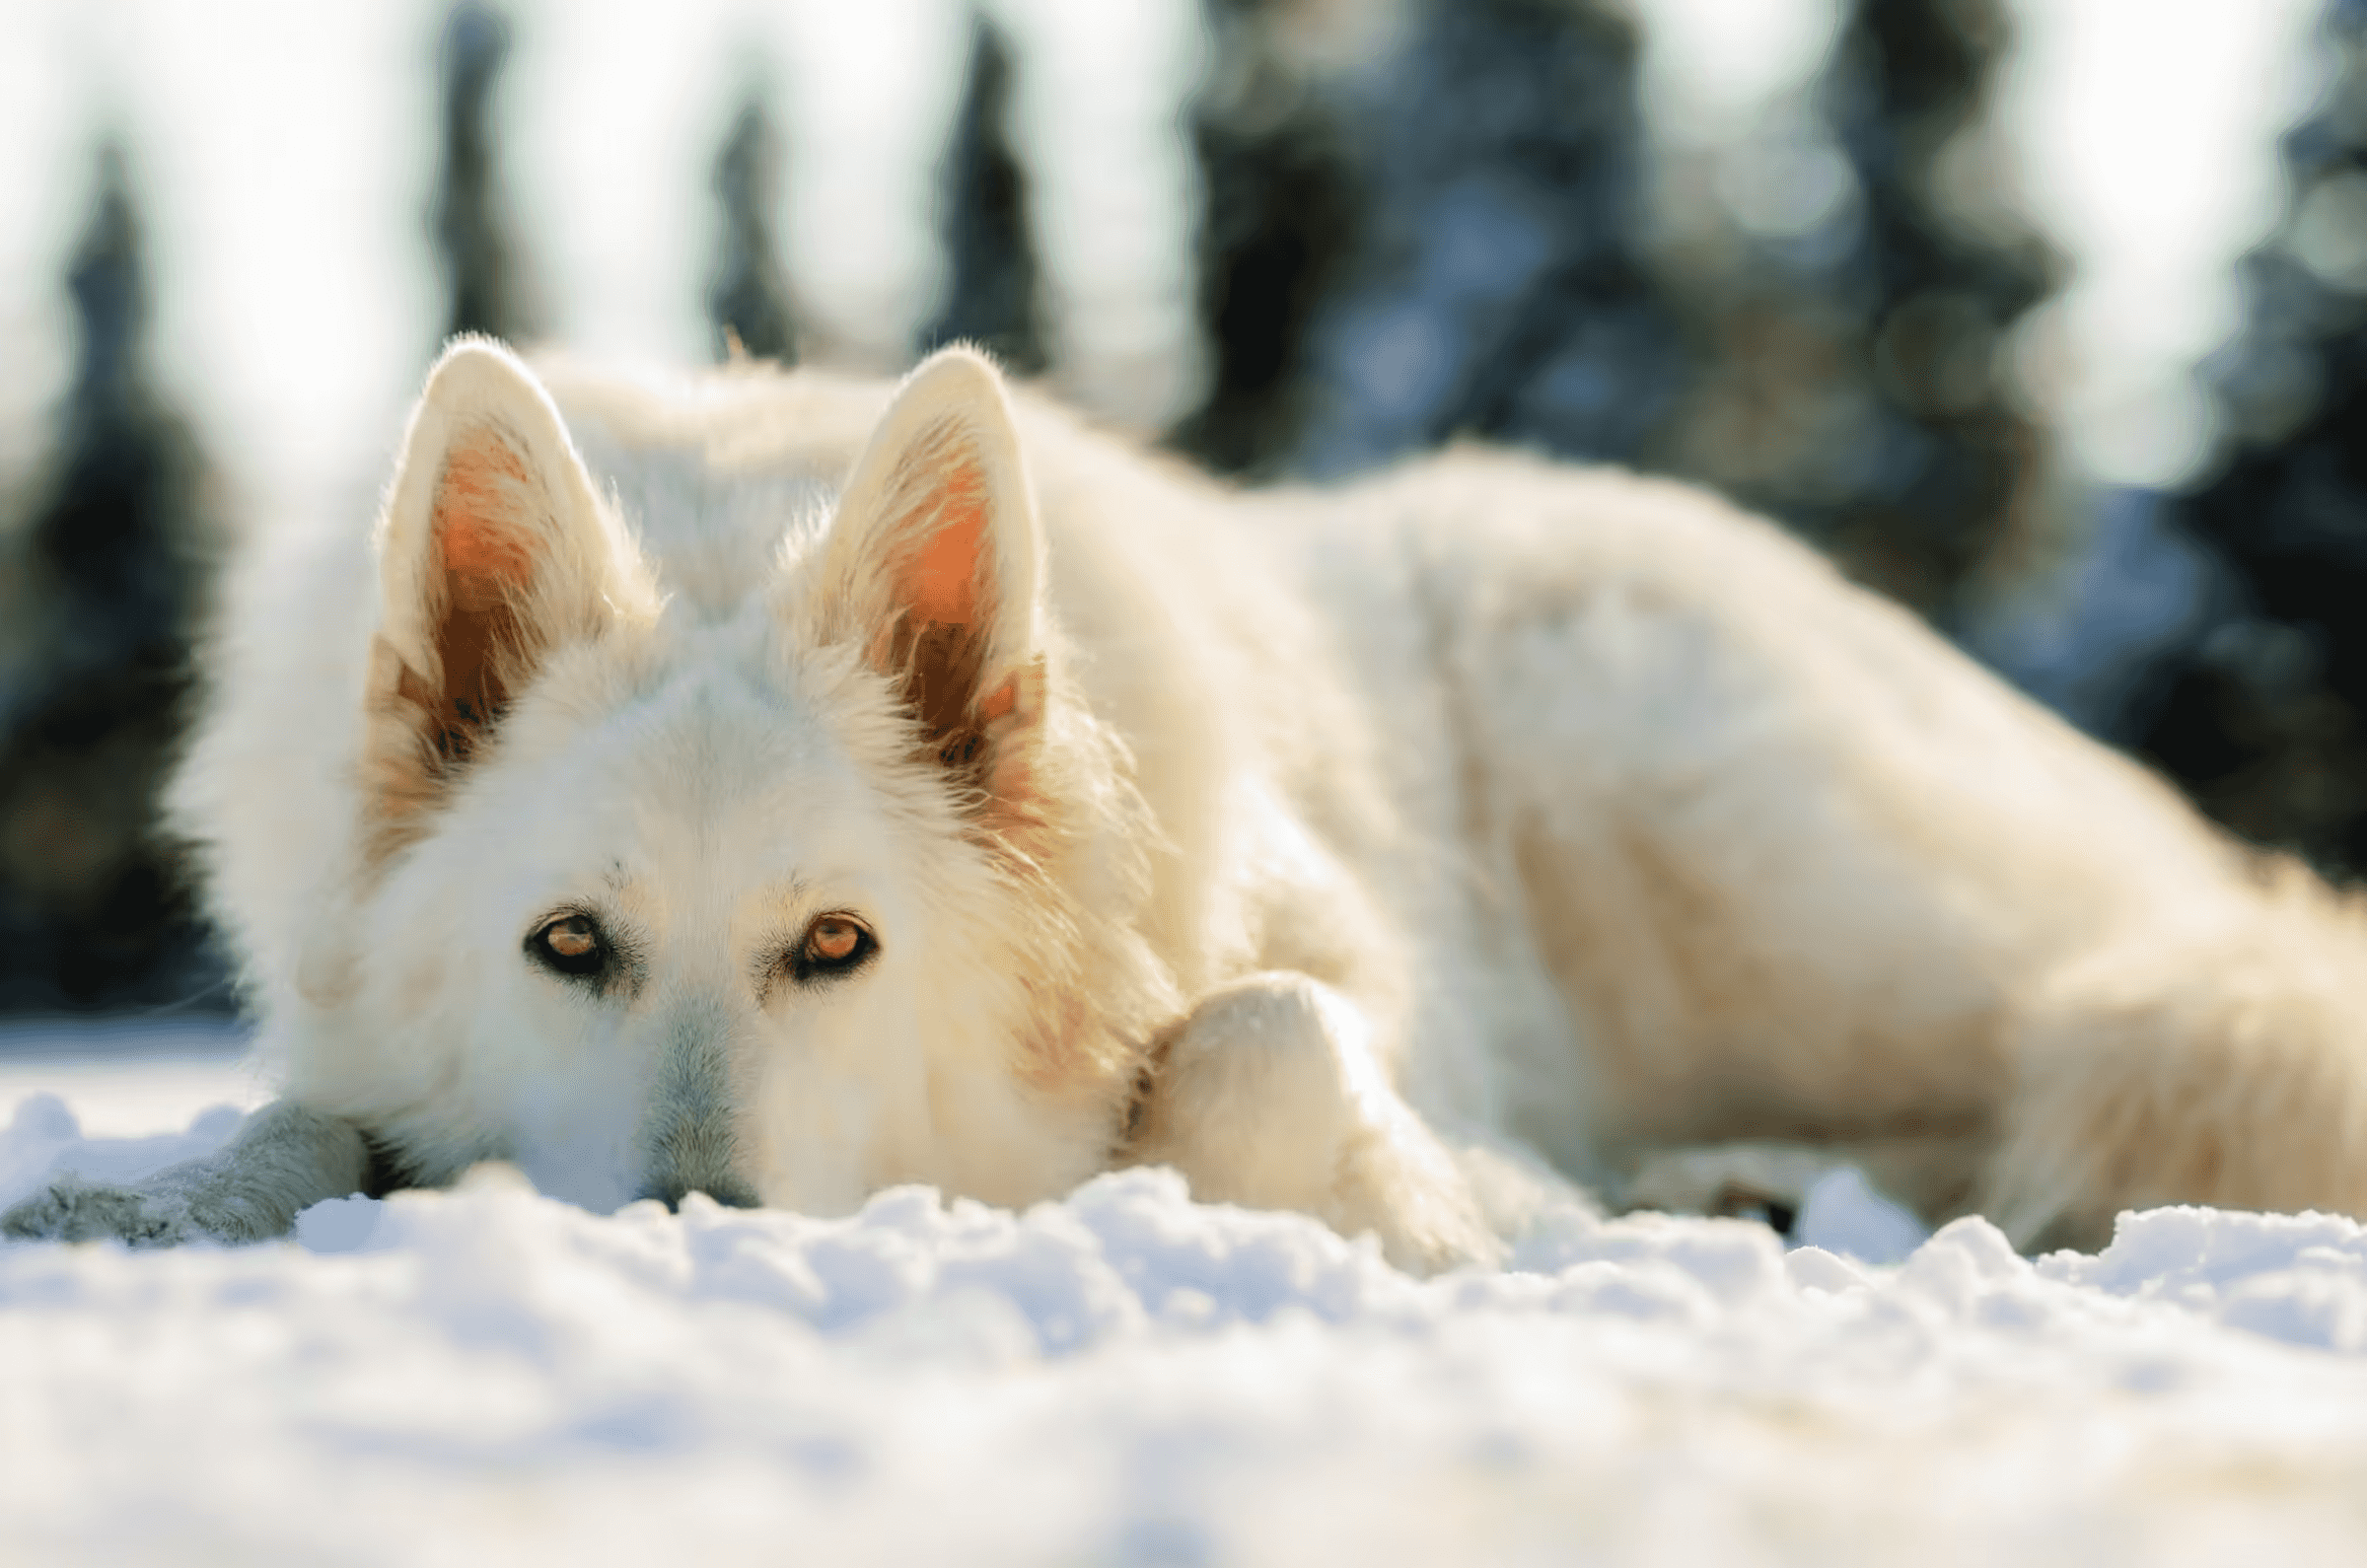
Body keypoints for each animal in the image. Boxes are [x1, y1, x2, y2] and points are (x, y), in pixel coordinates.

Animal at [10, 338, 2367, 1268]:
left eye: (838, 947)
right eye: (565, 948)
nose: (695, 1226)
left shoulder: (1330, 1011)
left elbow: (1261, 1046)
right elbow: (303, 1127)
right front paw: (138, 1208)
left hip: (1748, 845)